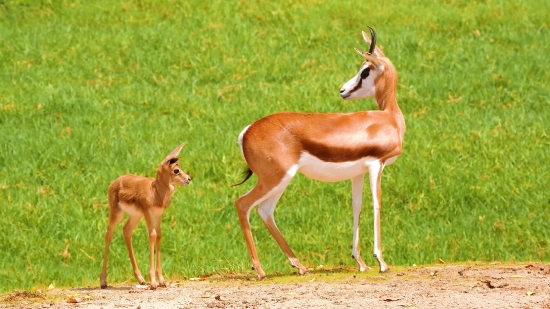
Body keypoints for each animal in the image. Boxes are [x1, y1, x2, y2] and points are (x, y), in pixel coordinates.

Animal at [100, 143, 193, 288]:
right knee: (108, 234)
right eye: (176, 170)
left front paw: (161, 280)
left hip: (135, 216)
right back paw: (103, 281)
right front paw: (154, 282)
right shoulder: (147, 213)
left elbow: (159, 235)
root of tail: (114, 182)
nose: (189, 179)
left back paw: (141, 279)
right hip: (117, 213)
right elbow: (152, 235)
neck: (156, 192)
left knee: (126, 231)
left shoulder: (158, 215)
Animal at [233, 26, 406, 278]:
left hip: (281, 180)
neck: (389, 118)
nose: (343, 91)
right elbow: (377, 205)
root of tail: (246, 131)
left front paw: (361, 262)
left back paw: (300, 266)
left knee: (265, 211)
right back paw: (261, 270)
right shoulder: (377, 164)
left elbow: (357, 207)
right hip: (275, 178)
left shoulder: (358, 172)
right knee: (243, 204)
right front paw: (381, 262)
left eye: (365, 71)